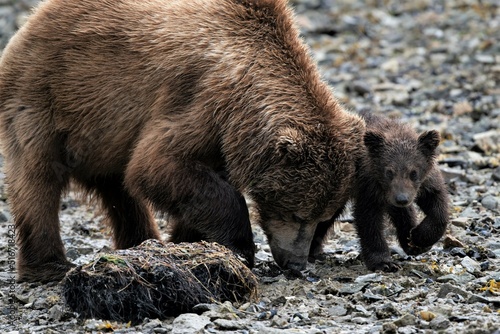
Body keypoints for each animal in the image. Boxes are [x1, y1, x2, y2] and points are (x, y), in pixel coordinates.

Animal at [0, 0, 364, 282]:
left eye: (324, 218)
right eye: (297, 213)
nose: (296, 262)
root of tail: (30, 21)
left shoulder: (226, 138)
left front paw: (187, 242)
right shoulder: (202, 99)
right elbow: (157, 164)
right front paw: (238, 247)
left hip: (103, 136)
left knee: (120, 190)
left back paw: (142, 241)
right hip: (47, 100)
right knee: (37, 181)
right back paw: (48, 266)